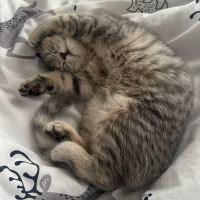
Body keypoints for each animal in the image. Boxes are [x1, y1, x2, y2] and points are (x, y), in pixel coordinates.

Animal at [18, 8, 193, 191]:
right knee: (95, 157)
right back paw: (61, 133)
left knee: (105, 177)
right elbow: (63, 80)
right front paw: (36, 85)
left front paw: (36, 34)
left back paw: (63, 148)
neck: (92, 54)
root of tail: (147, 178)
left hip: (121, 118)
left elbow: (64, 19)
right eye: (60, 63)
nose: (63, 55)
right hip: (100, 110)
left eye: (53, 50)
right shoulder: (88, 81)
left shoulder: (102, 25)